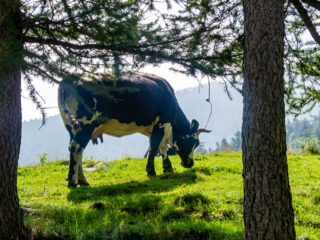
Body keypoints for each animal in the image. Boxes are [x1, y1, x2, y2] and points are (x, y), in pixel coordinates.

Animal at [58, 71, 211, 188]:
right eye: (195, 142)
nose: (189, 164)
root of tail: (71, 77)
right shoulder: (162, 122)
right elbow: (153, 146)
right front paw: (151, 171)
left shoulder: (156, 127)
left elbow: (162, 147)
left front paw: (168, 168)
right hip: (87, 123)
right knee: (76, 147)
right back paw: (73, 182)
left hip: (70, 126)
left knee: (77, 150)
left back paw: (82, 180)